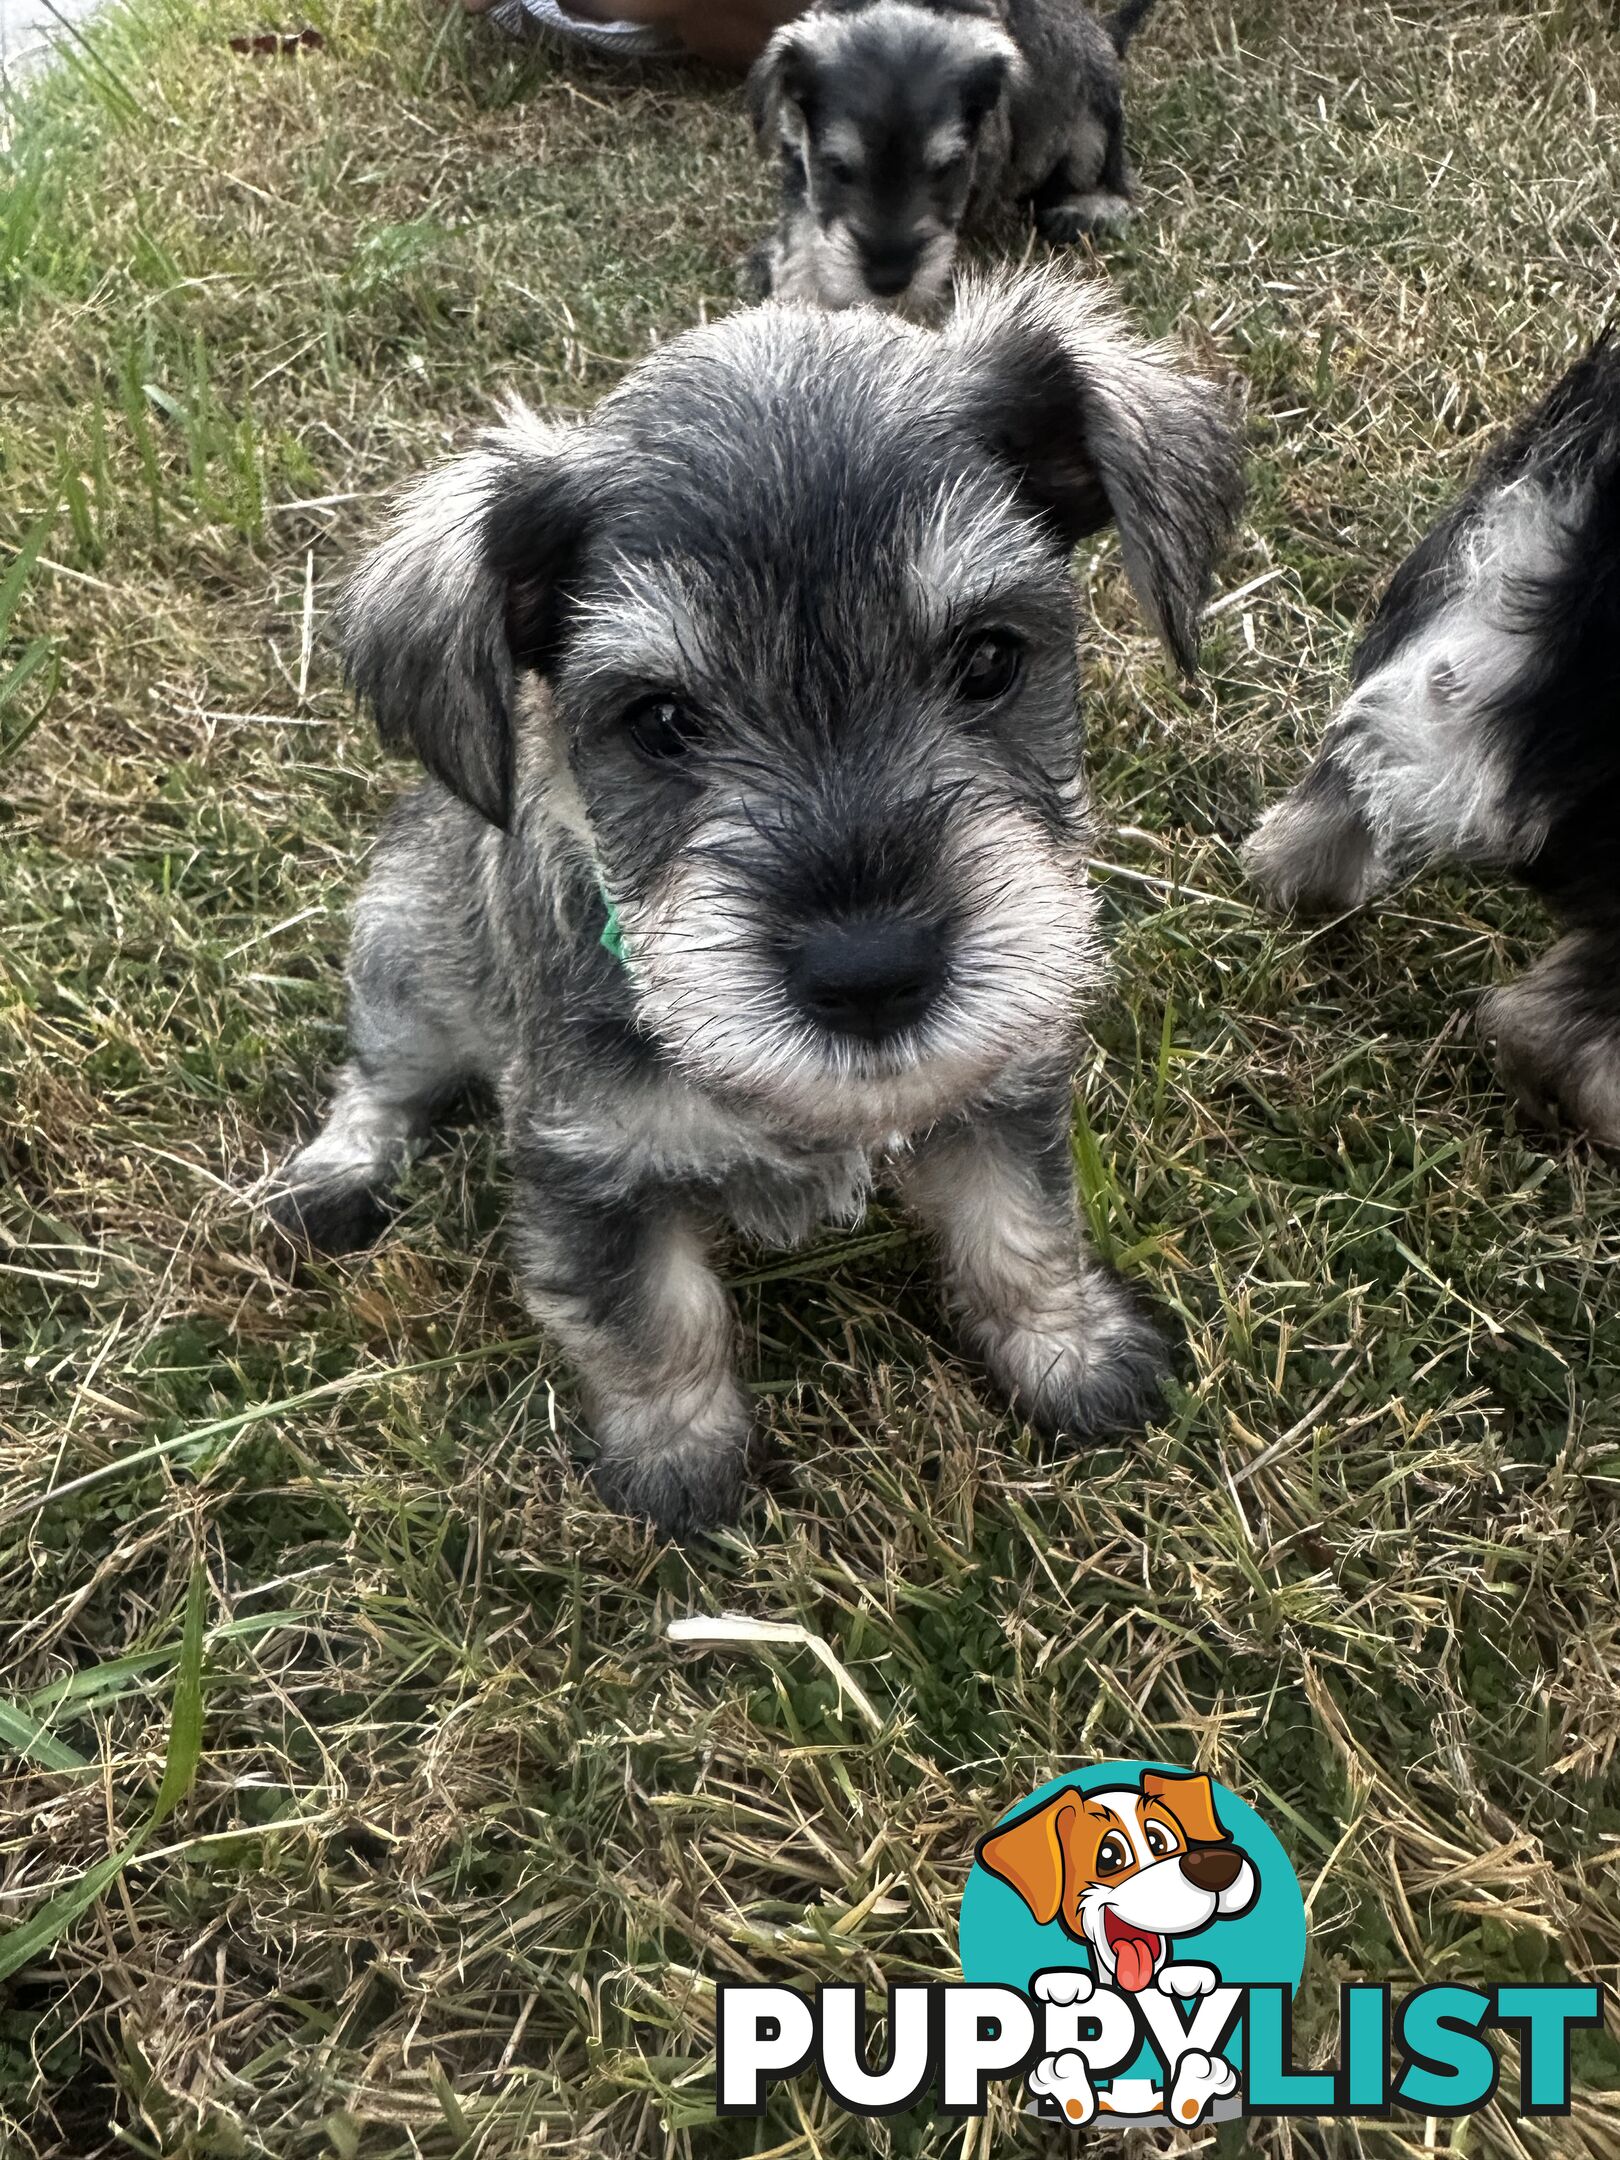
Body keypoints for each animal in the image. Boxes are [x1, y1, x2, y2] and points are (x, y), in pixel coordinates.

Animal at [273, 274, 1244, 1537]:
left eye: (989, 659)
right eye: (661, 721)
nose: (871, 972)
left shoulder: (1001, 1082)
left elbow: (1020, 1229)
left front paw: (1072, 1356)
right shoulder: (587, 1167)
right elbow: (651, 1322)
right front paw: (680, 1464)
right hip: (402, 959)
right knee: (379, 1078)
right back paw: (335, 1177)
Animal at [747, 0, 1157, 315]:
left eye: (946, 169)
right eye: (837, 168)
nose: (889, 281)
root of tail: (1105, 32)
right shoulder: (798, 161)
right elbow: (801, 227)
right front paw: (798, 287)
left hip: (1094, 118)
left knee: (1113, 176)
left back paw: (1085, 210)